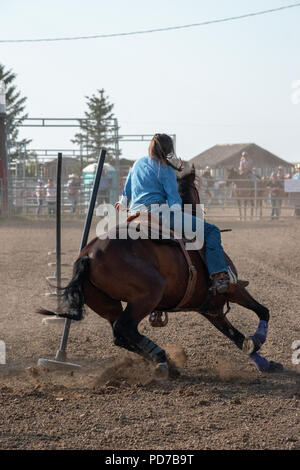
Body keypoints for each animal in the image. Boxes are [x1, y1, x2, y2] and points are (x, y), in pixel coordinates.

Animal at [38, 167, 284, 376]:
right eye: (197, 188)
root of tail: (88, 255)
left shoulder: (211, 308)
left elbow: (237, 337)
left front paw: (265, 363)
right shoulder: (231, 290)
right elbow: (263, 311)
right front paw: (258, 339)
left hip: (107, 304)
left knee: (120, 334)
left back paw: (163, 361)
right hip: (148, 294)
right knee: (124, 328)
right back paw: (162, 357)